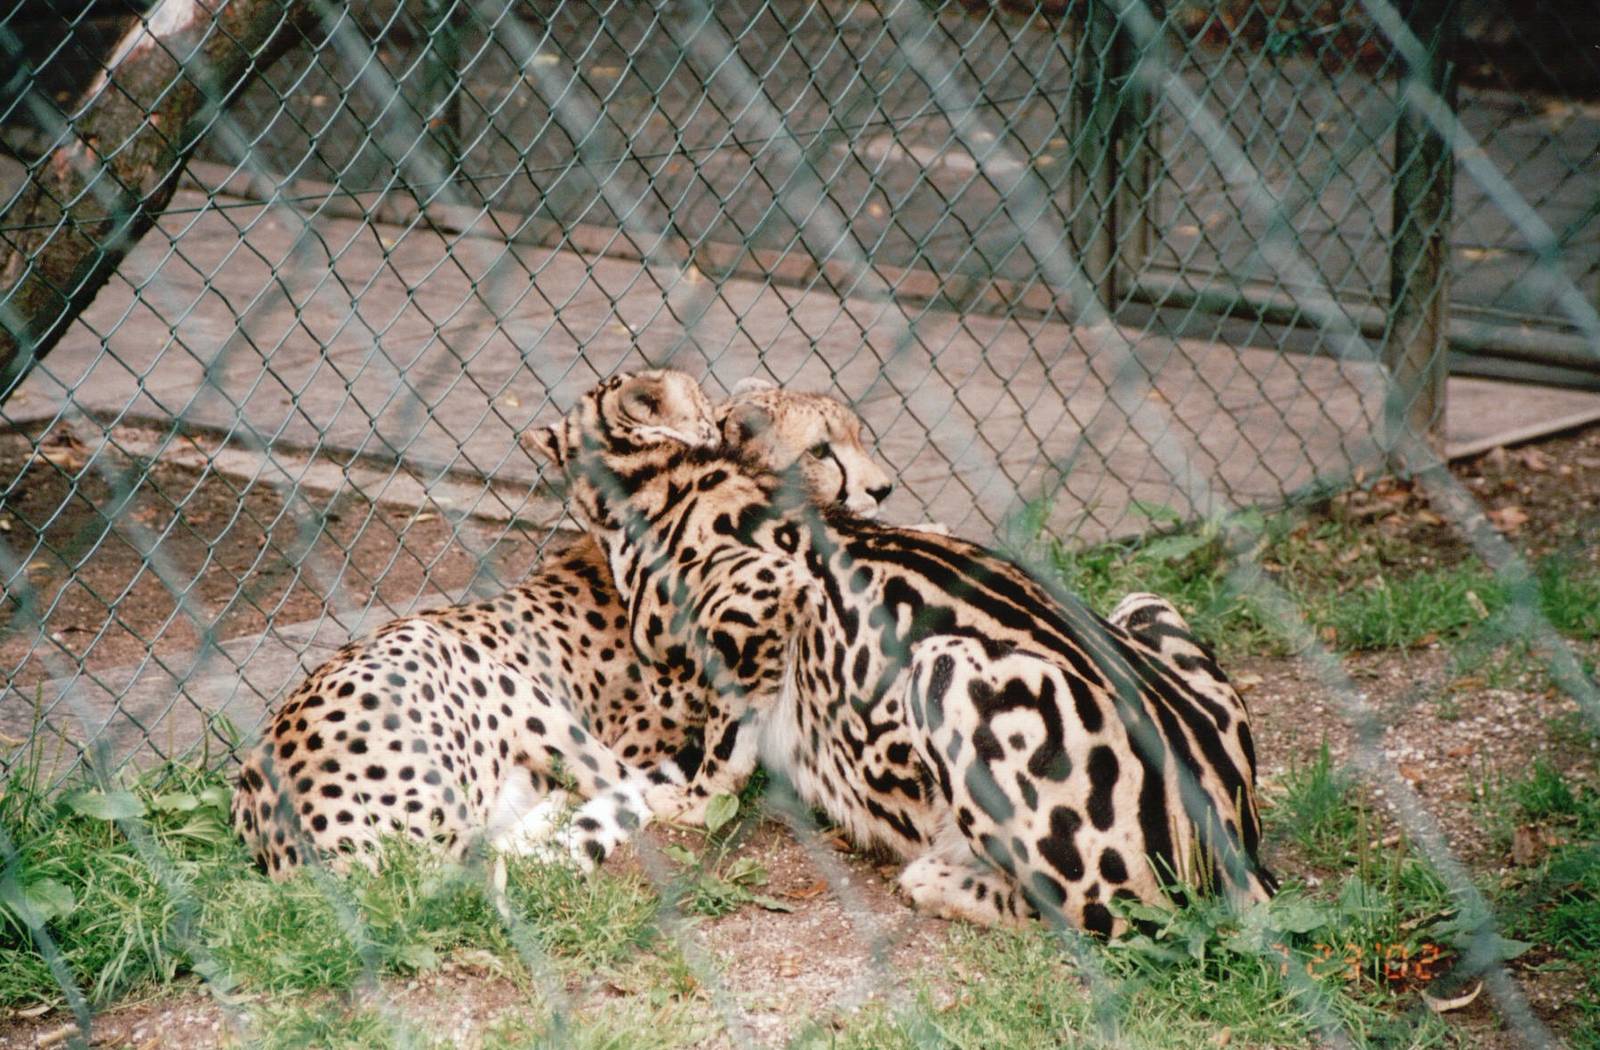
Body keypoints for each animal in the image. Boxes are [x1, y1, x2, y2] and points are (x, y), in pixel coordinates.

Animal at [533, 369, 1275, 938]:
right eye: (823, 448)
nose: (880, 488)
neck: (658, 479)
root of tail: (1238, 843)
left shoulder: (769, 595)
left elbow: (726, 731)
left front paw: (691, 799)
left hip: (946, 670)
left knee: (1105, 918)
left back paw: (938, 877)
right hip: (1145, 601)